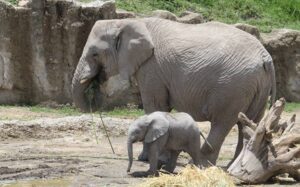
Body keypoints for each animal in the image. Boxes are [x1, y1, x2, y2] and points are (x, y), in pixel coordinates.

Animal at [71, 18, 276, 166]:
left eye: (95, 54)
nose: (95, 84)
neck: (131, 21)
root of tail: (266, 57)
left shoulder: (152, 68)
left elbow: (154, 106)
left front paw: (146, 159)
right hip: (255, 86)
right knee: (248, 123)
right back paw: (234, 165)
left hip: (233, 87)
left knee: (222, 122)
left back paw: (200, 163)